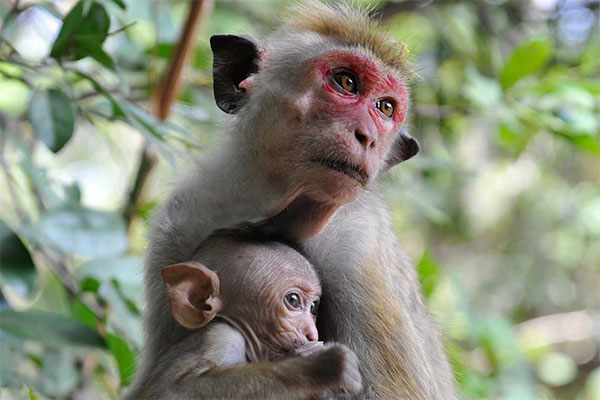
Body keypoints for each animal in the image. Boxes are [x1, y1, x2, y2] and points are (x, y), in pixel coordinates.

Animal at [131, 227, 360, 398]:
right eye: (293, 301)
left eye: (313, 308)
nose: (312, 333)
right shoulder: (221, 337)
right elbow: (173, 391)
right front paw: (320, 364)